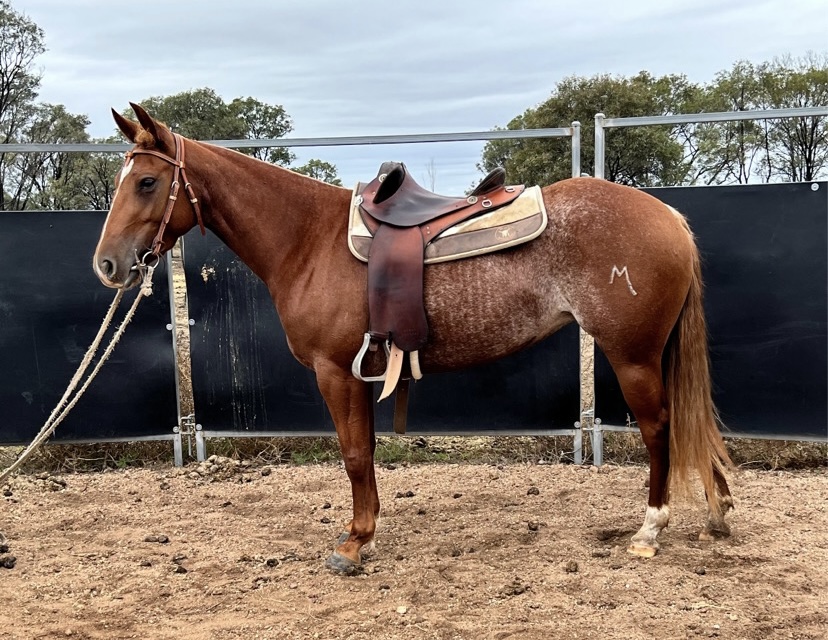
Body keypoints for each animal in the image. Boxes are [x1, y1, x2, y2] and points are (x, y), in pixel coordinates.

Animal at [93, 103, 733, 574]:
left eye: (147, 181)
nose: (107, 265)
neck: (307, 238)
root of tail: (670, 218)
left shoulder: (336, 370)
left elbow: (353, 454)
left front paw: (354, 543)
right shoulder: (363, 370)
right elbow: (367, 452)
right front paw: (367, 532)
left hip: (632, 357)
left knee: (660, 429)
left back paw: (651, 528)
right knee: (689, 422)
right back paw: (718, 510)